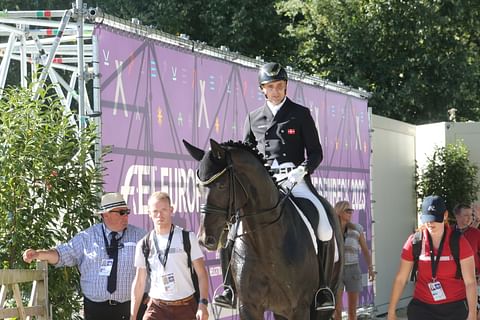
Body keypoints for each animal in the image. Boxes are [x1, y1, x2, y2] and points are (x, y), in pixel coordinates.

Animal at [182, 138, 344, 320]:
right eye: (197, 186)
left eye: (222, 185)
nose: (204, 239)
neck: (265, 244)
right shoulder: (248, 306)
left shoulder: (300, 308)